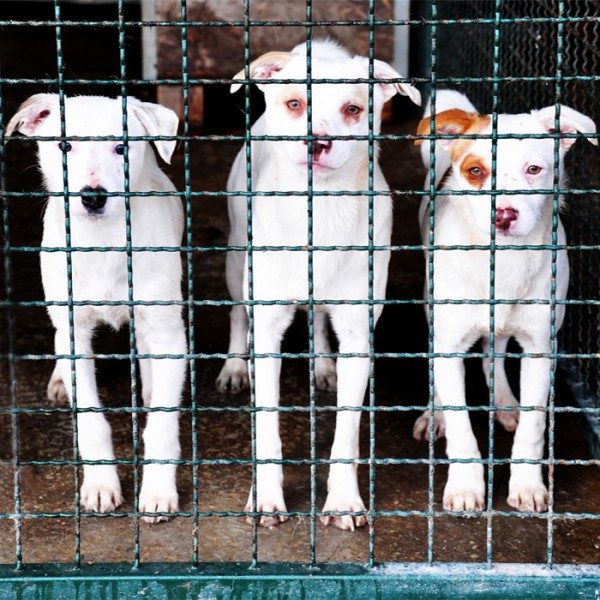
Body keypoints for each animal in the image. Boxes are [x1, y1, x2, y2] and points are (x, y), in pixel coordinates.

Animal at [7, 96, 185, 524]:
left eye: (121, 148)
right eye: (64, 146)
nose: (92, 196)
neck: (102, 241)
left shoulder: (169, 329)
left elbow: (162, 422)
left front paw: (158, 489)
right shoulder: (74, 329)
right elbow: (90, 419)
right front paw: (102, 484)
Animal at [217, 41, 422, 528]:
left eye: (353, 109)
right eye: (295, 104)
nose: (317, 141)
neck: (320, 209)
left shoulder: (358, 334)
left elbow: (346, 432)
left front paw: (344, 500)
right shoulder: (268, 331)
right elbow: (267, 425)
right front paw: (266, 496)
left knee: (318, 321)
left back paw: (323, 364)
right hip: (236, 258)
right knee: (237, 313)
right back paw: (234, 366)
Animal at [412, 91, 596, 512]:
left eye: (534, 169)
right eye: (476, 171)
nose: (504, 214)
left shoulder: (541, 347)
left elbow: (532, 426)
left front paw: (527, 485)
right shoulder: (449, 344)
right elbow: (461, 425)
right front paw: (465, 486)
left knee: (492, 352)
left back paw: (504, 402)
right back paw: (434, 414)